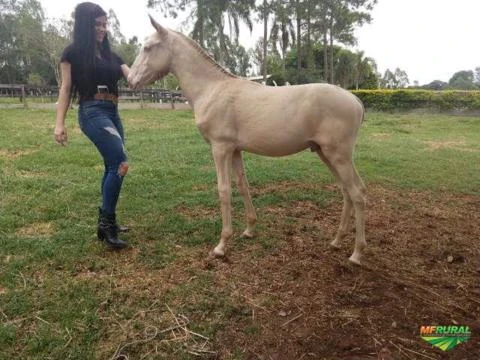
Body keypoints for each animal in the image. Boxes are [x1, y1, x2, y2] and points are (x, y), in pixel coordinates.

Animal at [127, 16, 368, 264]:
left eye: (148, 47)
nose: (130, 80)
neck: (212, 89)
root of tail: (355, 100)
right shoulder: (235, 150)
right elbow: (243, 185)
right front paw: (249, 230)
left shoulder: (220, 148)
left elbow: (224, 190)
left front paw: (221, 245)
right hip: (324, 153)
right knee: (347, 191)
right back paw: (337, 241)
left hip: (338, 155)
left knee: (357, 194)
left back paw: (356, 253)